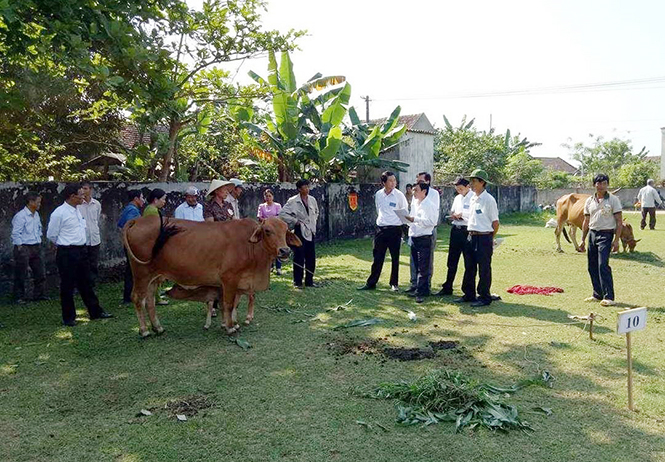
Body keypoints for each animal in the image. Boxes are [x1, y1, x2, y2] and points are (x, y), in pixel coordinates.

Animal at [123, 215, 300, 338]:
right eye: (267, 231)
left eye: (285, 231)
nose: (285, 251)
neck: (250, 246)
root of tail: (137, 220)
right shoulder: (229, 279)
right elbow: (228, 304)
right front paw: (230, 327)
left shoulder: (238, 283)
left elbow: (235, 304)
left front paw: (233, 323)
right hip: (141, 273)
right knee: (137, 298)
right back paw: (144, 330)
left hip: (153, 277)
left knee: (150, 301)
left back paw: (158, 327)